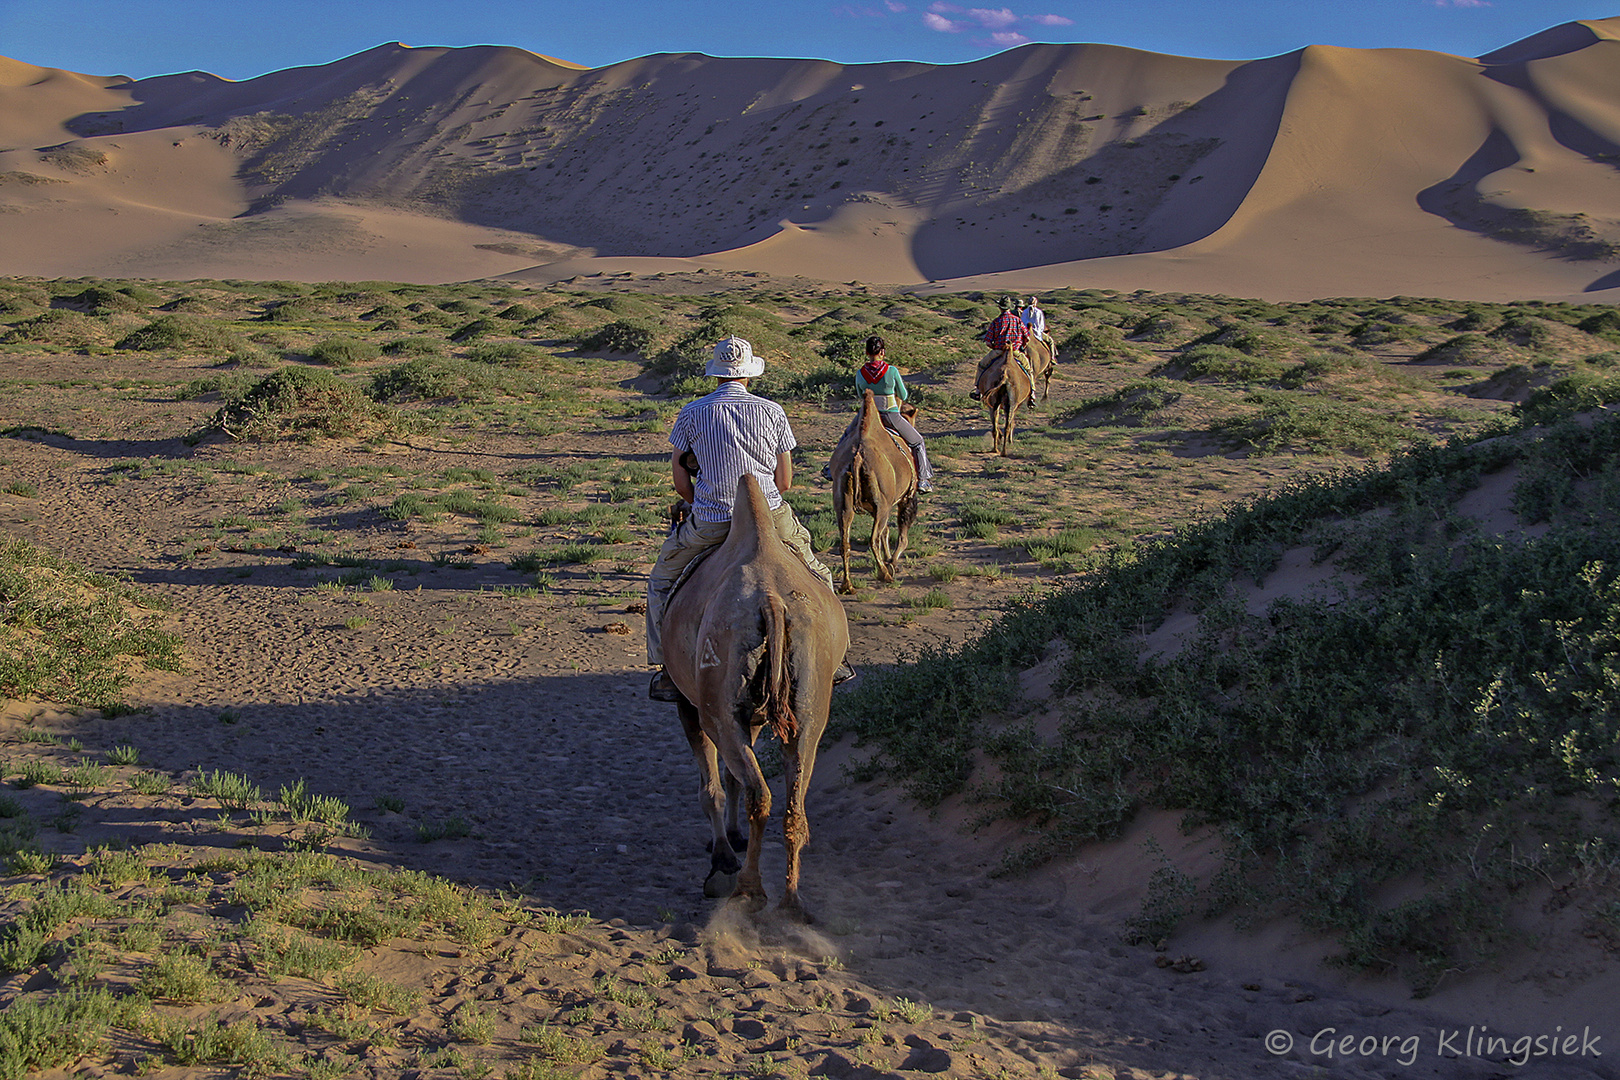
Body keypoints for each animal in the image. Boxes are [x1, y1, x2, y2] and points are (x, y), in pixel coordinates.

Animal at [654, 472, 848, 919]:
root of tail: (773, 604)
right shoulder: (754, 717)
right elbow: (731, 777)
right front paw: (732, 839)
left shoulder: (690, 706)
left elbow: (713, 786)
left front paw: (722, 858)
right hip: (810, 706)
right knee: (794, 800)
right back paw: (791, 902)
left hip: (718, 706)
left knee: (759, 793)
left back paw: (747, 890)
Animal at [829, 388, 920, 592]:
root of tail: (857, 457)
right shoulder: (906, 497)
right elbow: (902, 535)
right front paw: (892, 563)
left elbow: (886, 531)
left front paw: (889, 561)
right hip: (883, 504)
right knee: (873, 539)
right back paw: (885, 575)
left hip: (843, 500)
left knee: (845, 541)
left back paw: (847, 585)